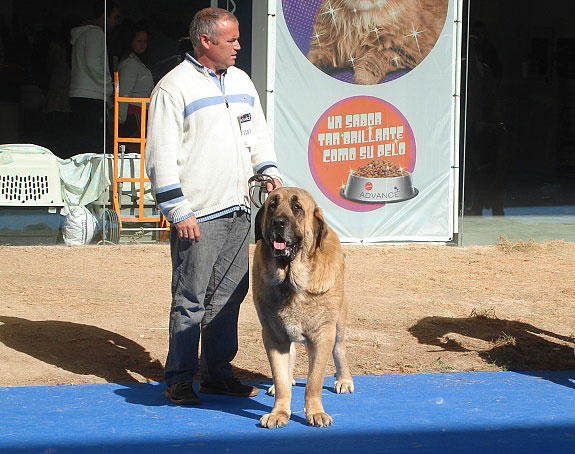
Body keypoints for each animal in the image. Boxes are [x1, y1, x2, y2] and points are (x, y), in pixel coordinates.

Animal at [253, 186, 354, 428]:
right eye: (272, 205)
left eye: (297, 207)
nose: (278, 222)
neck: (291, 281)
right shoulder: (273, 335)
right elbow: (280, 377)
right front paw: (279, 412)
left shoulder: (323, 334)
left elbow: (314, 381)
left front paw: (316, 413)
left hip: (339, 324)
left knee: (340, 349)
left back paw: (344, 380)